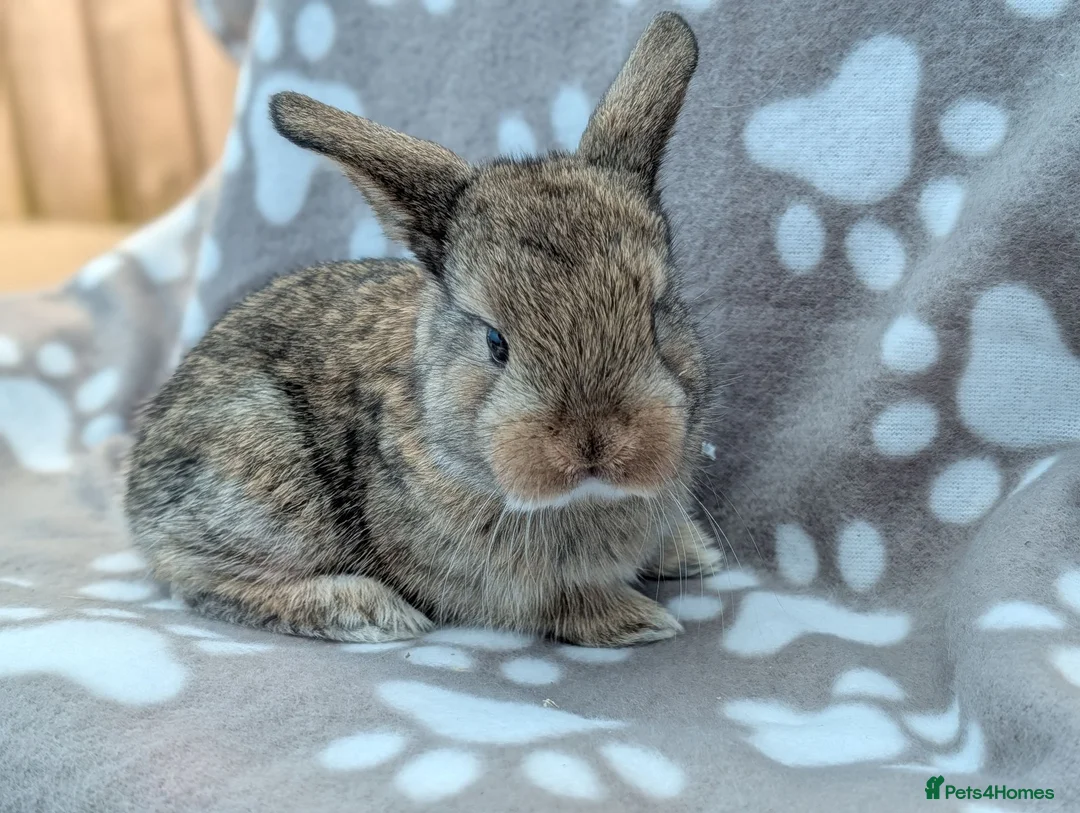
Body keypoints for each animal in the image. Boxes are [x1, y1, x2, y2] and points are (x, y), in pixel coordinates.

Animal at [124, 11, 721, 648]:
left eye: (656, 316)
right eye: (495, 343)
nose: (594, 444)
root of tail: (137, 489)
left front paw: (693, 553)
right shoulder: (487, 578)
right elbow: (555, 602)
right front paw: (640, 619)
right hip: (266, 488)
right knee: (205, 583)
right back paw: (369, 611)